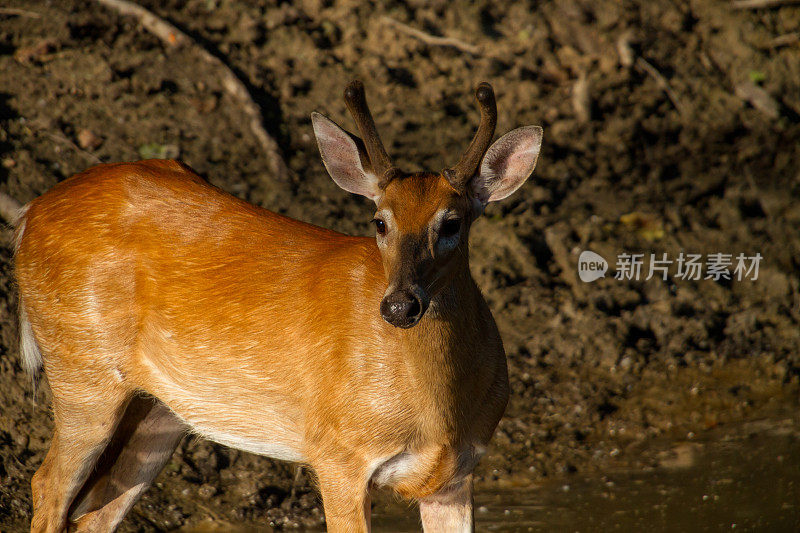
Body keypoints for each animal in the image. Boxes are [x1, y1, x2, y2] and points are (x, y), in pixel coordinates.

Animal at [10, 80, 544, 532]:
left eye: (452, 223)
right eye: (379, 221)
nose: (399, 307)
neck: (436, 412)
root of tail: (28, 213)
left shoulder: (456, 477)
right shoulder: (339, 454)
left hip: (161, 411)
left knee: (93, 514)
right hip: (82, 368)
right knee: (47, 485)